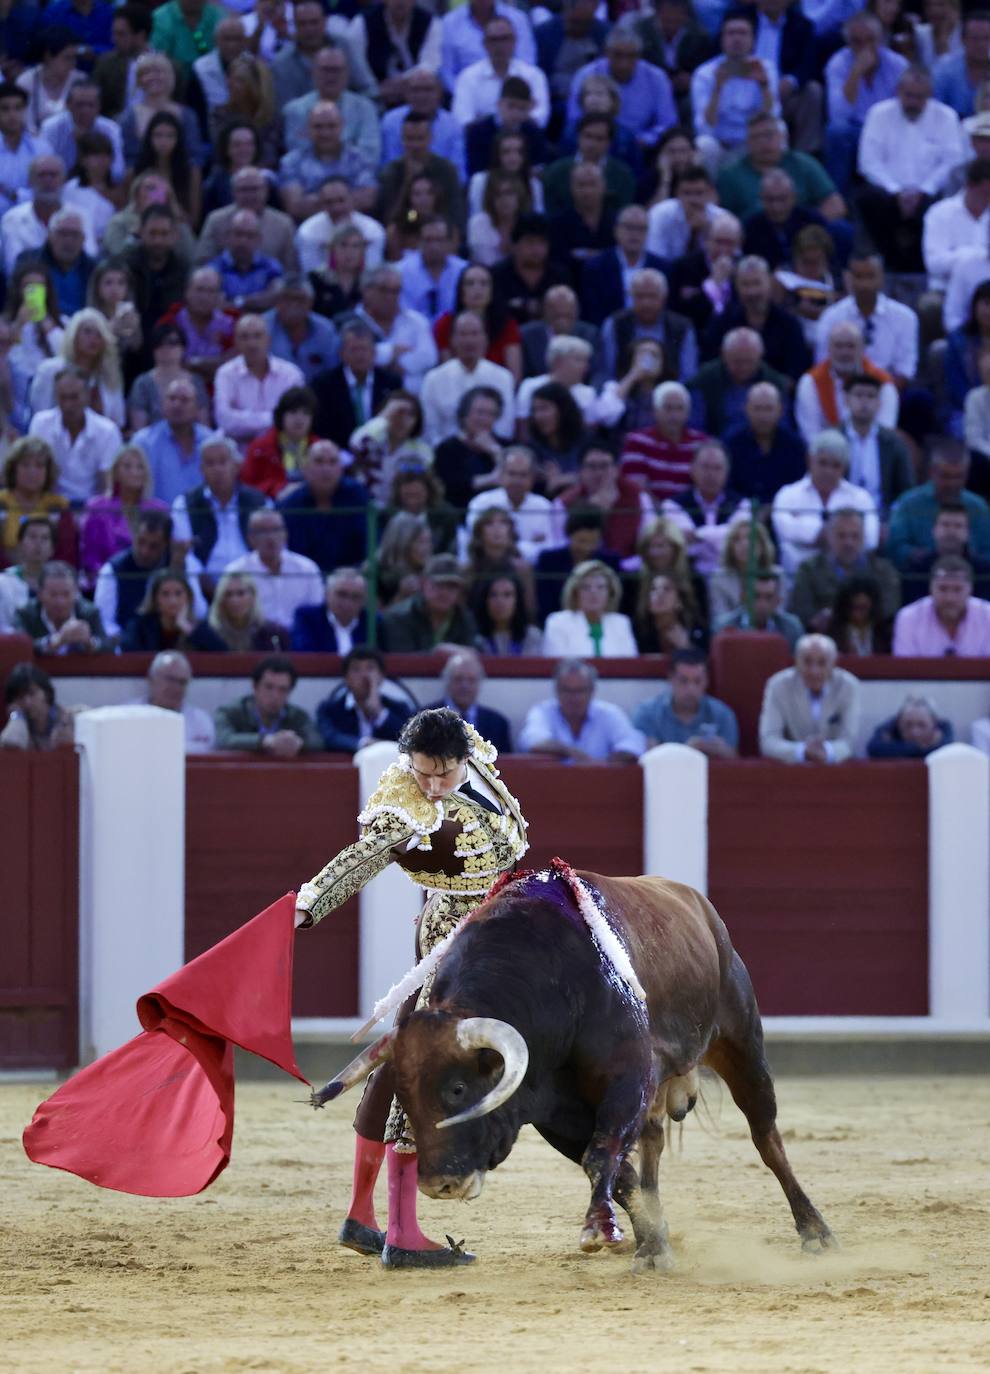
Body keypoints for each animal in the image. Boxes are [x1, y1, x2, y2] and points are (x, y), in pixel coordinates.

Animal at [310, 862, 834, 1269]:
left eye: (458, 1089)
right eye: (404, 1095)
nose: (440, 1184)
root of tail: (700, 907)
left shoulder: (626, 1079)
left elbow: (602, 1156)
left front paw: (602, 1232)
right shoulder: (552, 1112)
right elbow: (619, 1172)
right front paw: (651, 1242)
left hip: (740, 1040)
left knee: (766, 1136)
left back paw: (815, 1231)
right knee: (652, 1144)